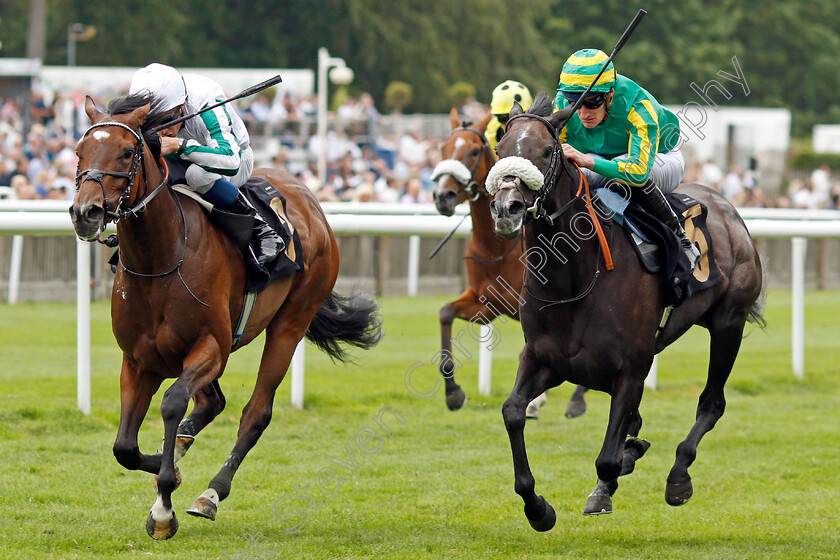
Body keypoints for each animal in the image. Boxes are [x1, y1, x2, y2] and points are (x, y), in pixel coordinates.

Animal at [70, 95, 378, 540]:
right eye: (80, 151)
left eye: (127, 152)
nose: (85, 212)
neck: (161, 258)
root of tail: (309, 198)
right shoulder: (139, 360)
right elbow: (125, 447)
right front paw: (166, 465)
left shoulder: (210, 347)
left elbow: (172, 403)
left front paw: (165, 504)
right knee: (213, 402)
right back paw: (180, 446)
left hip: (291, 323)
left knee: (255, 414)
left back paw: (210, 494)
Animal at [430, 107, 588, 418]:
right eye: (443, 148)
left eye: (475, 150)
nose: (443, 196)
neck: (496, 248)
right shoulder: (486, 304)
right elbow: (445, 313)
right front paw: (453, 393)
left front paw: (535, 402)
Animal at [486, 94, 768, 532]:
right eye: (500, 149)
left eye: (547, 151)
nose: (507, 208)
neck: (574, 277)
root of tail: (727, 207)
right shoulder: (544, 360)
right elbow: (513, 412)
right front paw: (538, 508)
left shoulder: (631, 370)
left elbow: (608, 457)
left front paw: (609, 483)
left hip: (728, 324)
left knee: (712, 403)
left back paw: (678, 476)